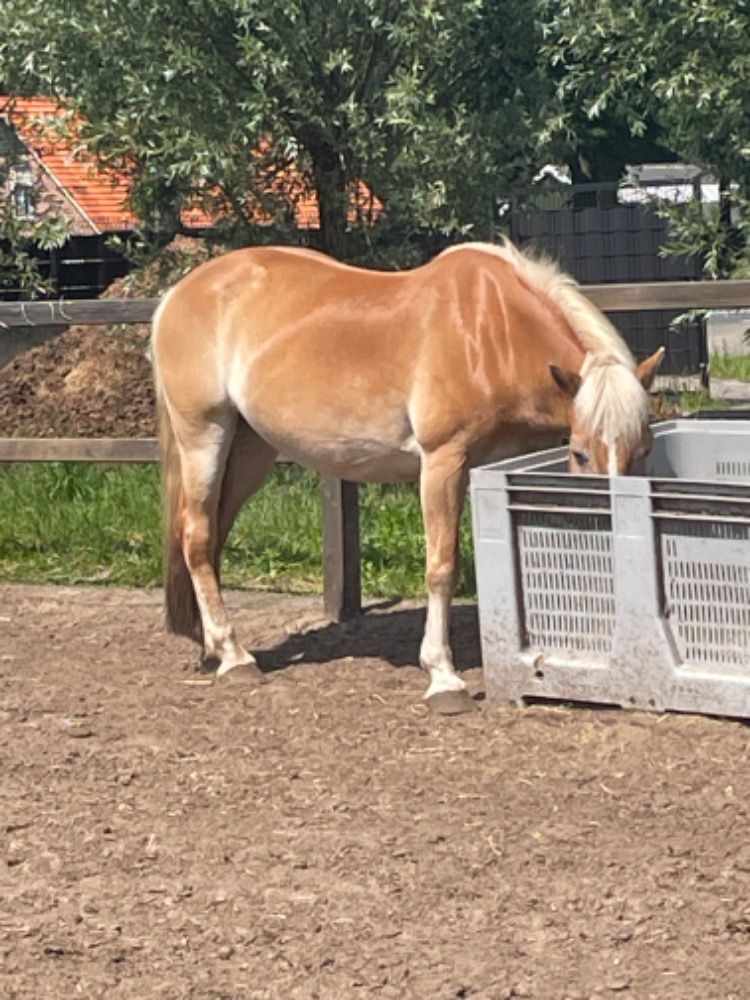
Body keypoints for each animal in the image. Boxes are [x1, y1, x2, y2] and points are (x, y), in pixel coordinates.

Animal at [151, 240, 664, 714]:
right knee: (196, 535)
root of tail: (176, 295)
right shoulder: (442, 461)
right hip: (204, 435)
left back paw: (213, 646)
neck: (491, 332)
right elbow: (442, 566)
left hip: (250, 451)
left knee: (212, 536)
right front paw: (444, 679)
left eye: (645, 449)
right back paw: (234, 657)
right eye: (579, 452)